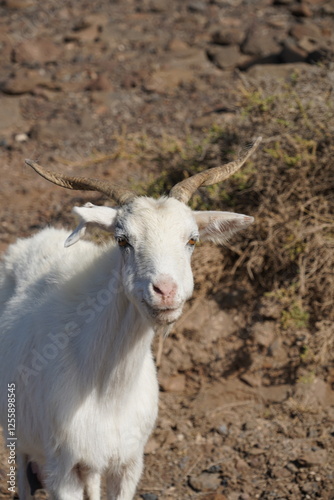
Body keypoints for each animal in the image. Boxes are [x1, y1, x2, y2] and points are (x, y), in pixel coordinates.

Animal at [0, 137, 260, 500]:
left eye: (192, 240)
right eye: (122, 240)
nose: (165, 291)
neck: (106, 391)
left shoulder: (128, 461)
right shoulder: (61, 468)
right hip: (20, 439)